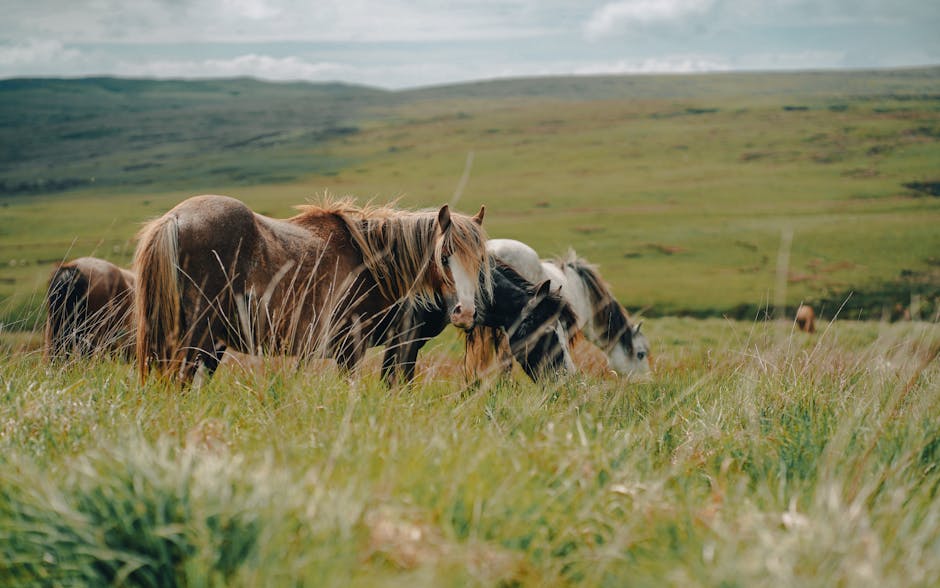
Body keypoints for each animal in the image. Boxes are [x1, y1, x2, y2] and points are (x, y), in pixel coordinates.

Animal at [135, 195, 488, 384]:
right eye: (444, 256)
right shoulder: (360, 346)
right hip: (198, 338)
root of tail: (175, 218)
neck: (373, 266)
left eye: (481, 260)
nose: (466, 313)